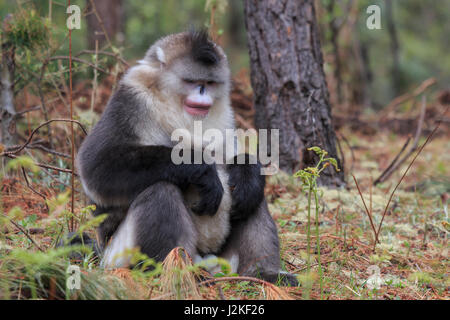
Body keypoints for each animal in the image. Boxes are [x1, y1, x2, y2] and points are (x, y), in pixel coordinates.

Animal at [75, 30, 298, 284]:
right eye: (192, 82)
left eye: (209, 83)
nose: (202, 92)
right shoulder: (131, 100)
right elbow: (96, 165)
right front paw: (202, 170)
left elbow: (235, 159)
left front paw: (247, 174)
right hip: (119, 255)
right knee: (161, 190)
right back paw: (175, 273)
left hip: (224, 258)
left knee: (252, 198)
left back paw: (263, 273)